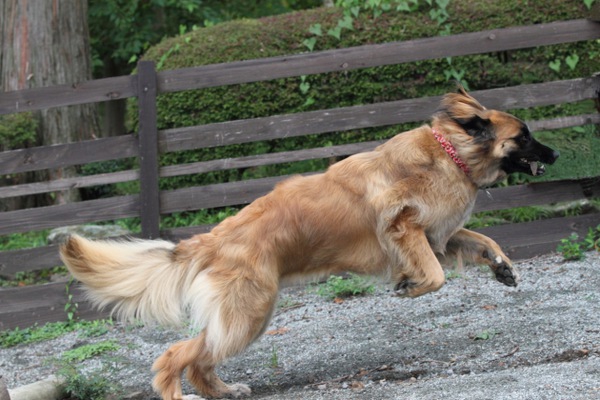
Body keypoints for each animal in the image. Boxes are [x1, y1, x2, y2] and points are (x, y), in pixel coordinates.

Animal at [59, 88, 556, 400]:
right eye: (524, 136)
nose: (554, 154)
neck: (450, 155)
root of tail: (213, 239)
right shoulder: (403, 227)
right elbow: (433, 276)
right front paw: (409, 287)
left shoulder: (439, 234)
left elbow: (481, 238)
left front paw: (502, 265)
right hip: (248, 316)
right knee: (175, 355)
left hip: (246, 317)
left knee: (200, 356)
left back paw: (224, 390)